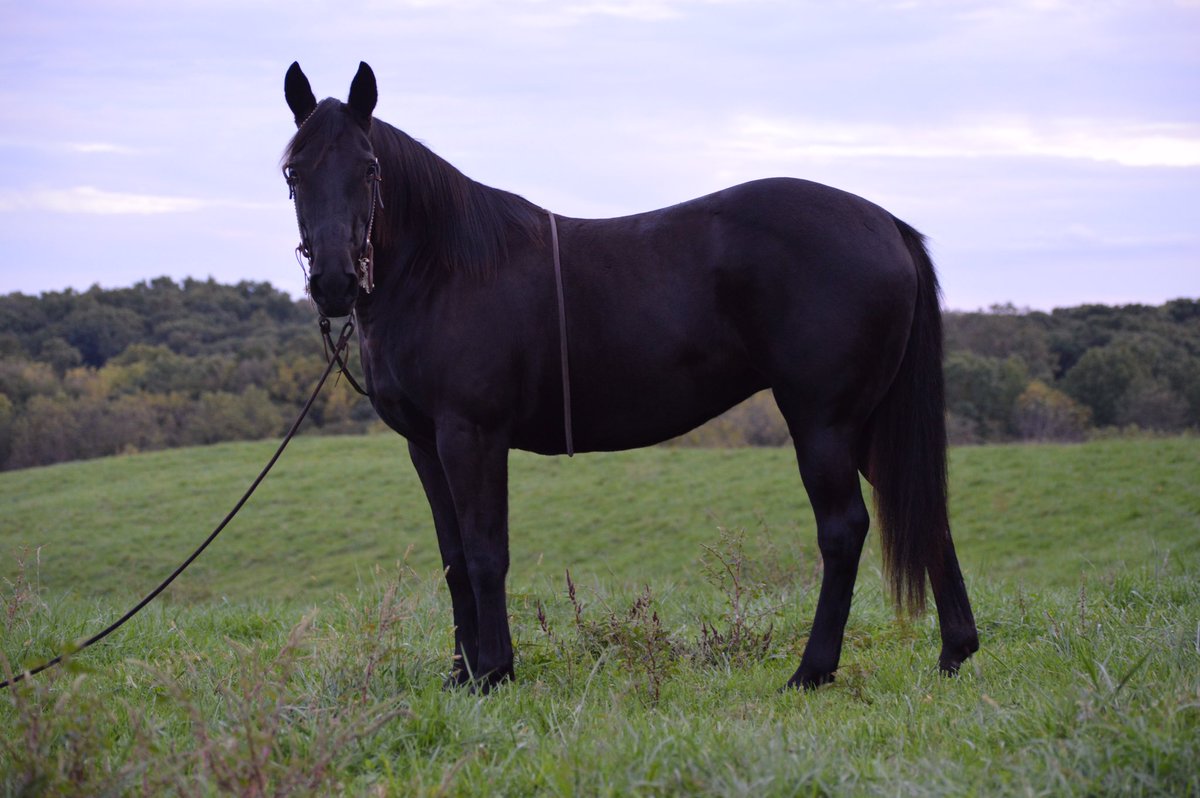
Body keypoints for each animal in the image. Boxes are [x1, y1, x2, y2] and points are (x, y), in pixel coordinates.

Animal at [281, 61, 978, 692]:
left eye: (369, 169)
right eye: (294, 171)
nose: (336, 281)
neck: (444, 269)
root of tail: (886, 224)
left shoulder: (470, 435)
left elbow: (484, 554)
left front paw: (495, 673)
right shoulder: (425, 446)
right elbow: (454, 561)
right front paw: (462, 675)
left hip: (823, 422)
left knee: (843, 530)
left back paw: (812, 671)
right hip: (868, 423)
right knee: (925, 509)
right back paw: (955, 653)